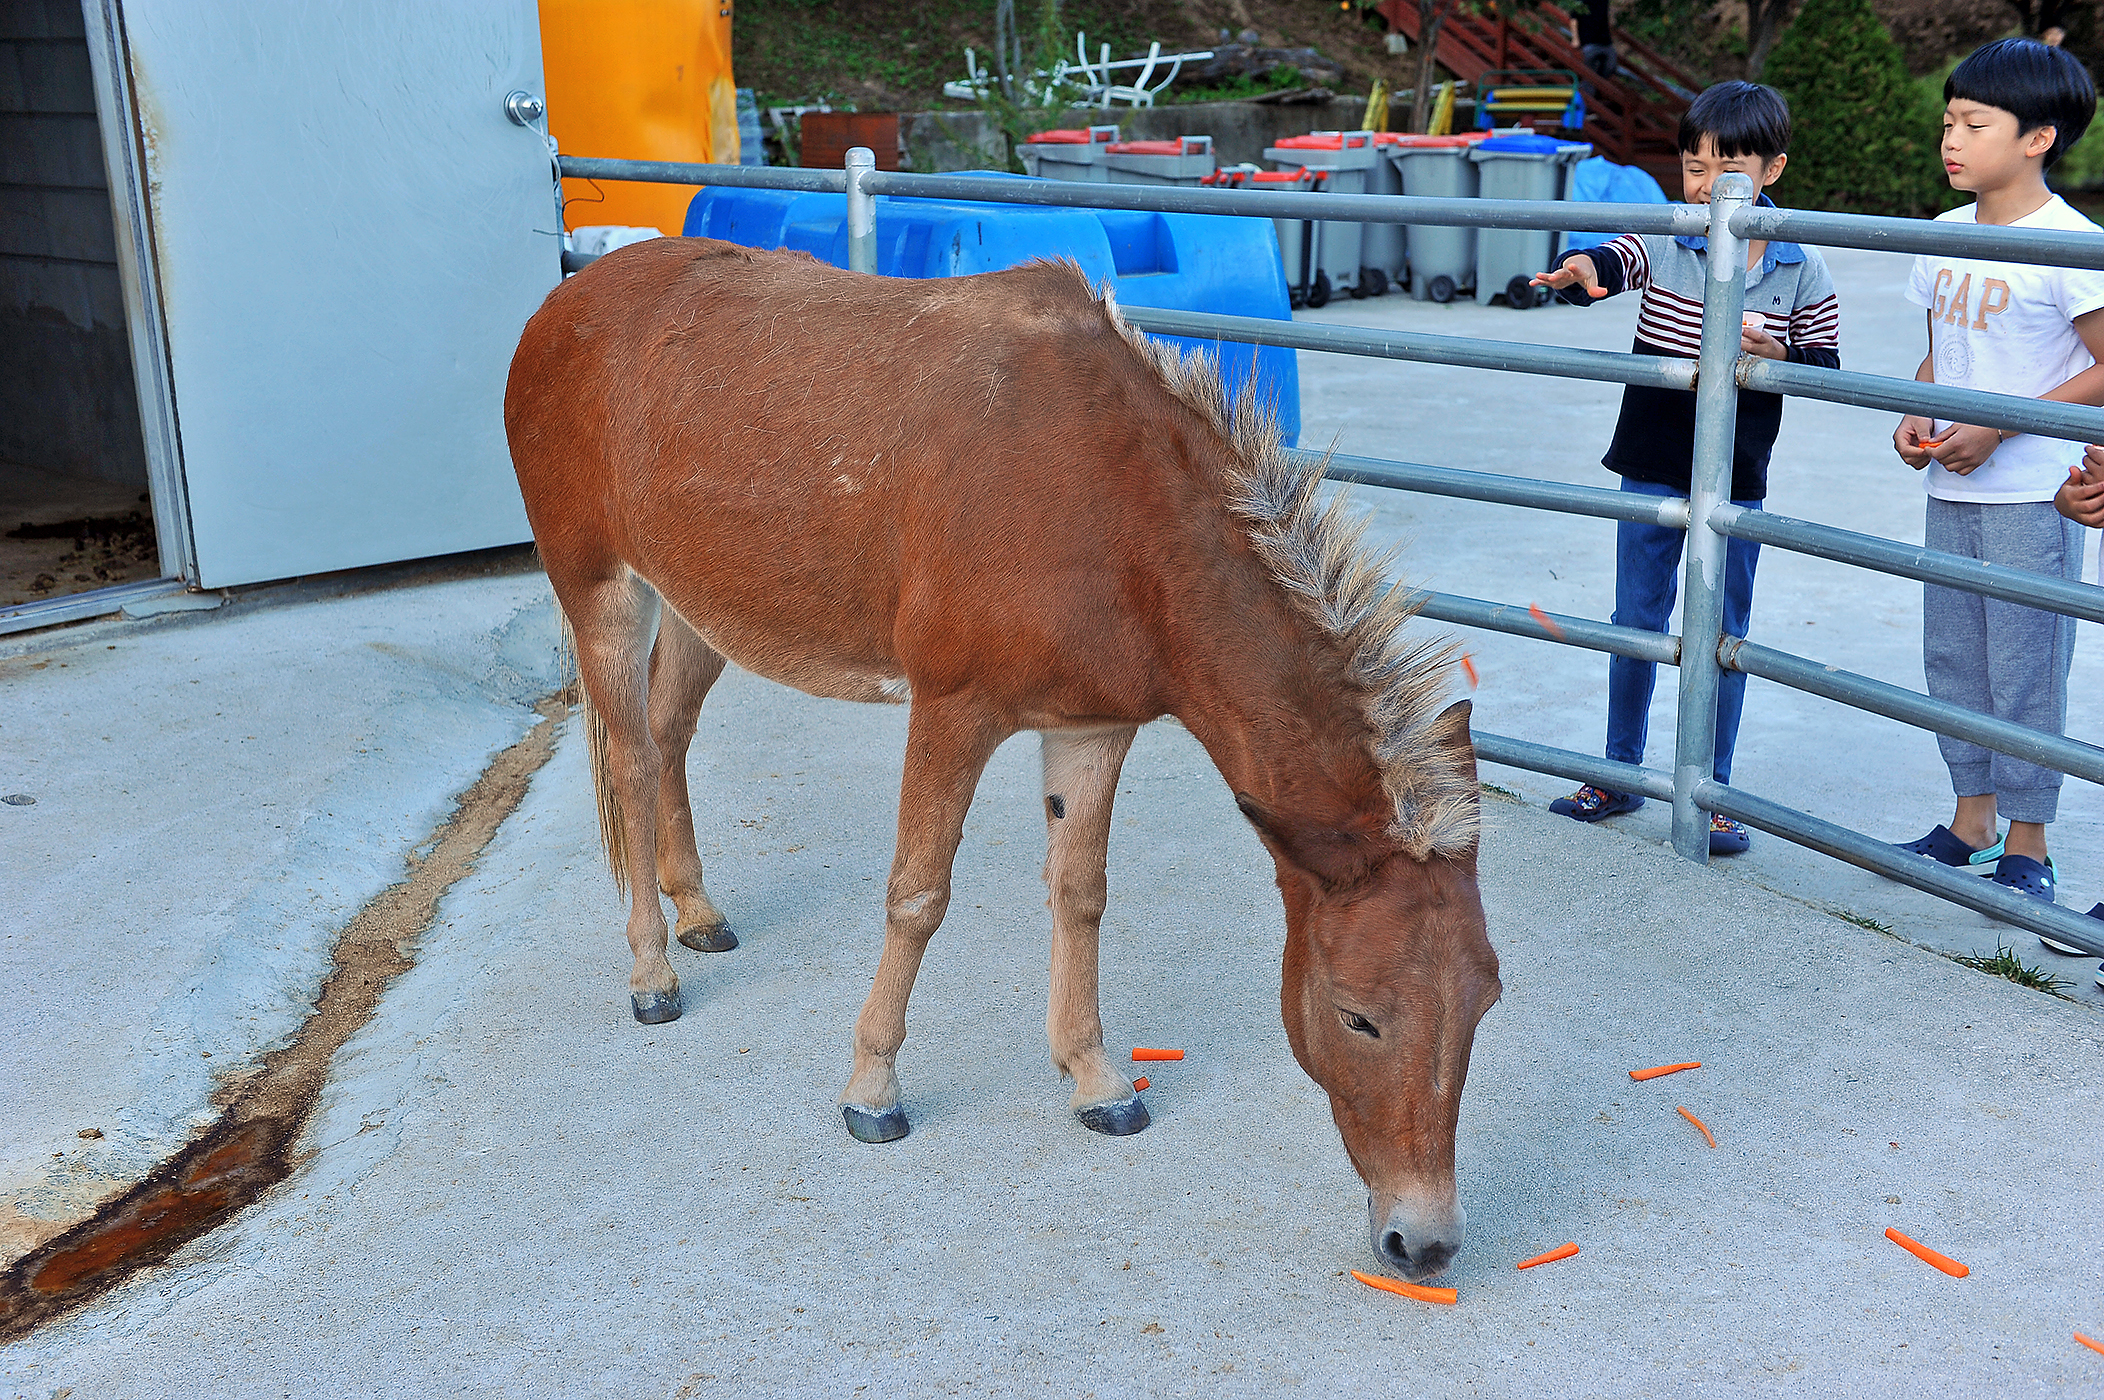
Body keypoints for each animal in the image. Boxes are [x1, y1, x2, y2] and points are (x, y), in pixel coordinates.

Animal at [502, 240, 1506, 1280]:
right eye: (1357, 1016)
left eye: (1484, 1004)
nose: (1424, 1240)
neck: (1115, 512)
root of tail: (569, 299)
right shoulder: (953, 712)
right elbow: (917, 896)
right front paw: (873, 1087)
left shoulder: (1093, 727)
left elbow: (1080, 892)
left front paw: (1096, 1078)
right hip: (602, 591)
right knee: (629, 759)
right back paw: (651, 972)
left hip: (705, 607)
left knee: (667, 738)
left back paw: (696, 909)